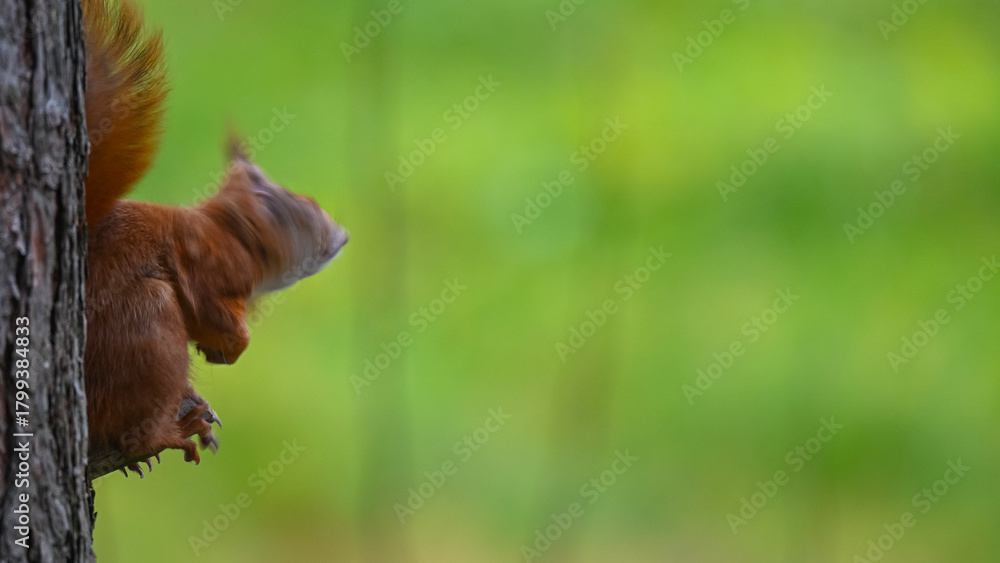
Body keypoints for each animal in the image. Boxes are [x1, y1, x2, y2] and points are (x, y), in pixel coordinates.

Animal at [82, 0, 348, 477]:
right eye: (299, 209)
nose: (342, 235)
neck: (235, 233)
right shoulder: (212, 265)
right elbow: (213, 311)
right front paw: (230, 348)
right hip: (145, 327)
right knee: (133, 428)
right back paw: (169, 434)